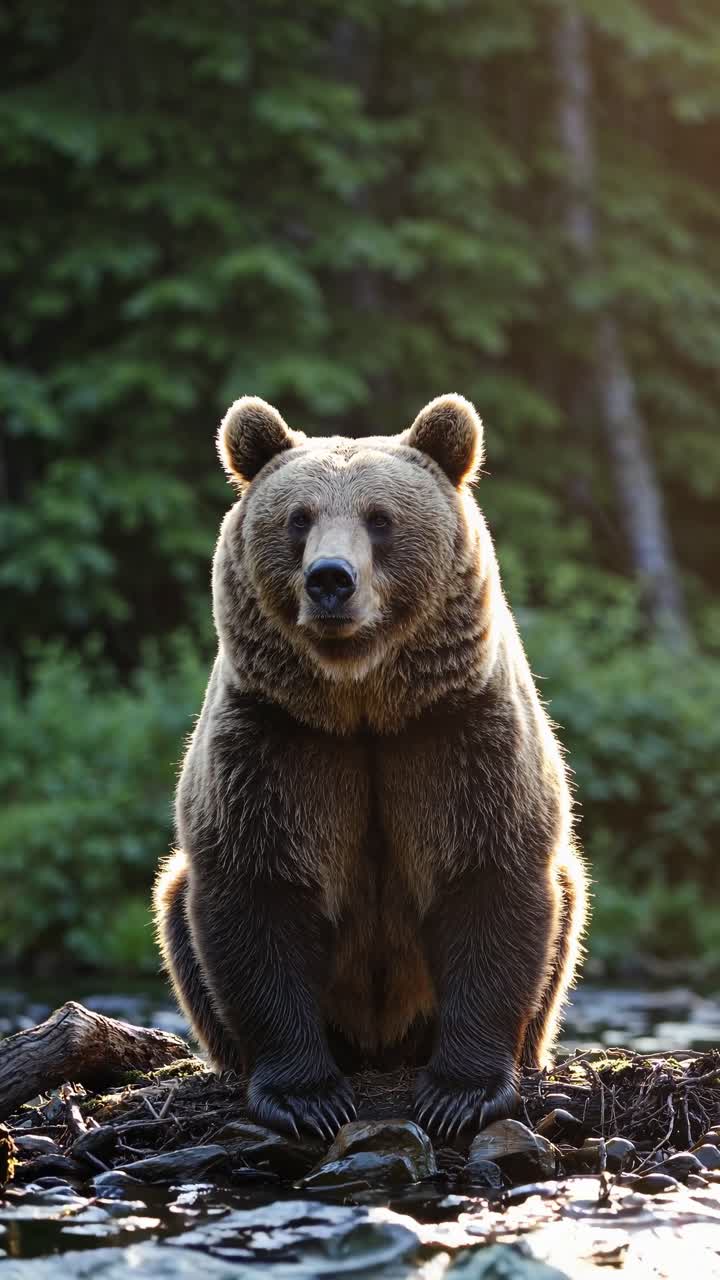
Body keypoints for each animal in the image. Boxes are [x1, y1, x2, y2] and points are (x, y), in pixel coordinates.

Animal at [154, 393, 587, 1141]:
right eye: (299, 518)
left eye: (381, 519)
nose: (331, 579)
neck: (362, 703)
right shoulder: (276, 743)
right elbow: (259, 890)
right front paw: (305, 1096)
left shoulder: (458, 735)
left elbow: (490, 878)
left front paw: (461, 1091)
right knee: (178, 902)